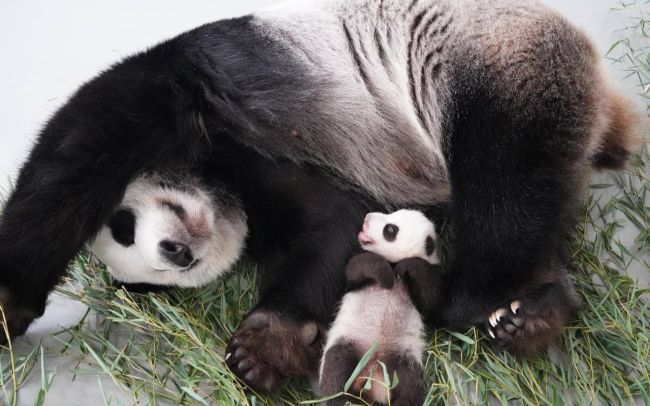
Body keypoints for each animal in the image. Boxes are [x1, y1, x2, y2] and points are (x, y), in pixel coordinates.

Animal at [0, 0, 636, 394]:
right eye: (153, 276)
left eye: (126, 224)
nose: (174, 253)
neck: (226, 197)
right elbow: (327, 234)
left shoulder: (206, 117)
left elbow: (72, 161)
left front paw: (260, 349)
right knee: (539, 205)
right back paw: (536, 311)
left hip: (499, 68)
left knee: (503, 189)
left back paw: (475, 298)